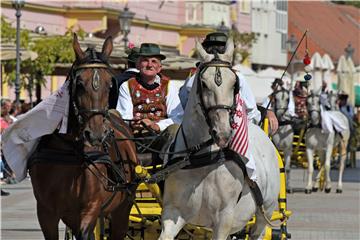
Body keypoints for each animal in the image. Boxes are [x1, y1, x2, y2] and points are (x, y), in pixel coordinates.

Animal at [27, 34, 138, 240]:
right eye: (79, 84)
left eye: (109, 85)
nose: (95, 134)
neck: (69, 151)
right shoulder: (46, 212)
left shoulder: (90, 209)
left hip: (122, 209)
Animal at [159, 38, 280, 239]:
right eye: (204, 84)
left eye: (234, 84)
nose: (223, 134)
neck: (203, 159)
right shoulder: (173, 213)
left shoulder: (224, 219)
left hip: (265, 214)